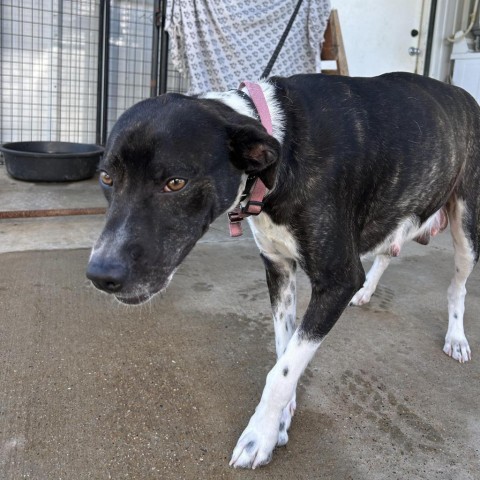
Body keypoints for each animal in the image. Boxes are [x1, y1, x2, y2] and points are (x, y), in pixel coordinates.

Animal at [86, 73, 480, 466]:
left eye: (175, 182)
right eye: (106, 177)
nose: (101, 275)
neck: (282, 149)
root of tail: (461, 93)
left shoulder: (338, 280)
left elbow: (283, 370)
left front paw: (259, 434)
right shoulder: (278, 268)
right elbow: (284, 347)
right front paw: (281, 417)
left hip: (466, 226)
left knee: (457, 286)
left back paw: (456, 337)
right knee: (388, 250)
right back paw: (368, 291)